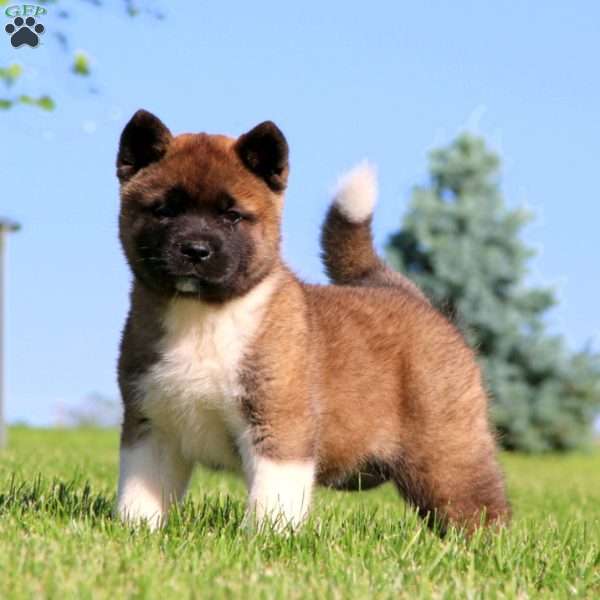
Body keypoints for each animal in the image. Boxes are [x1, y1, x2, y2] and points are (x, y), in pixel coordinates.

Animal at [115, 110, 508, 532]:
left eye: (232, 216)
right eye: (164, 211)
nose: (195, 249)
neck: (205, 317)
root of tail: (409, 296)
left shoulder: (279, 425)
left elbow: (272, 499)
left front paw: (267, 539)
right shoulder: (151, 427)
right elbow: (140, 494)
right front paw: (136, 530)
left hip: (446, 456)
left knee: (479, 506)